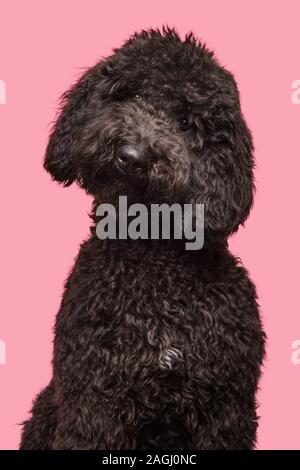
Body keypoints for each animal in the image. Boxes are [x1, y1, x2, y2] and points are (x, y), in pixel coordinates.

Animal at [20, 27, 264, 450]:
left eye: (185, 121)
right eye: (130, 94)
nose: (132, 155)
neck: (152, 267)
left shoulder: (225, 408)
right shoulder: (92, 401)